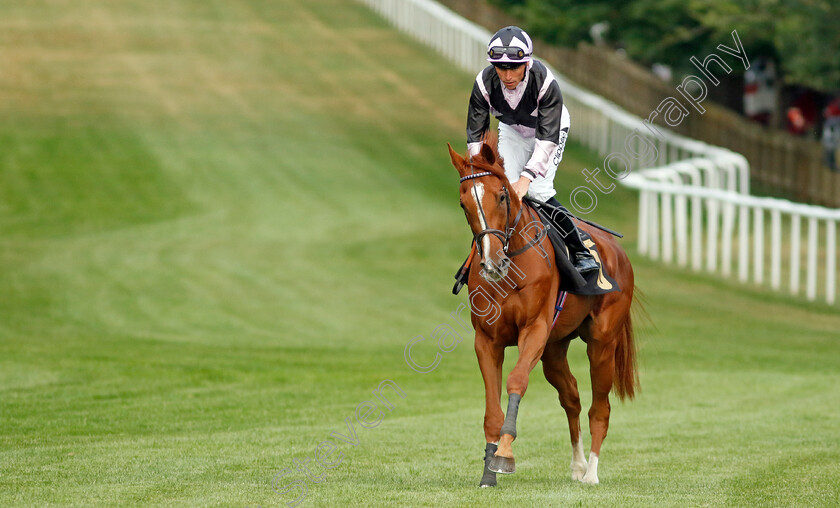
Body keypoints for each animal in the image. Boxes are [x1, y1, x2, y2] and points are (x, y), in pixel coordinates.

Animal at [446, 137, 636, 486]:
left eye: (502, 195)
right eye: (464, 204)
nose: (492, 263)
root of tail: (618, 251)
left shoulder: (533, 330)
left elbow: (517, 380)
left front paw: (504, 455)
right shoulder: (487, 340)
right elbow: (491, 408)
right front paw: (488, 471)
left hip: (602, 343)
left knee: (599, 408)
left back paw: (591, 472)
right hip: (554, 350)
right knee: (571, 397)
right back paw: (577, 465)